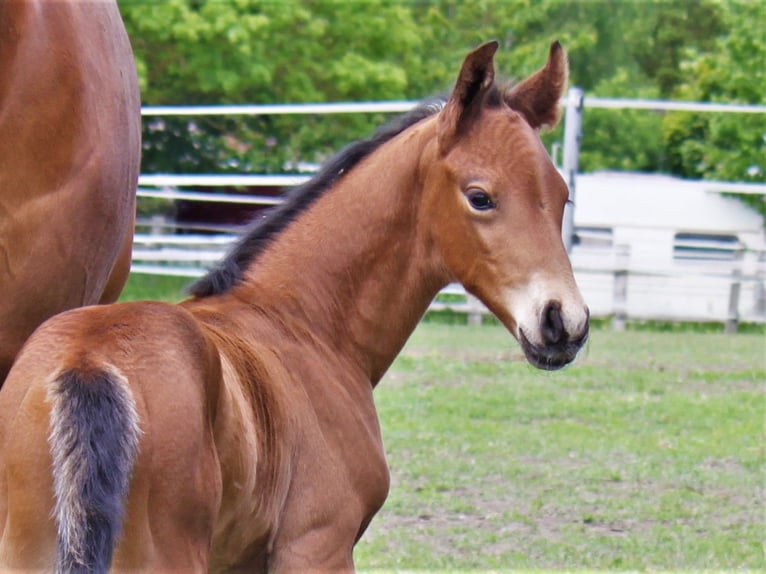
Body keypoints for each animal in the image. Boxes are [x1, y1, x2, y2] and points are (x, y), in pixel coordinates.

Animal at [0, 40, 592, 572]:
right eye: (480, 197)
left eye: (563, 195)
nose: (563, 321)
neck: (303, 322)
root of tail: (86, 364)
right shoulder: (319, 545)